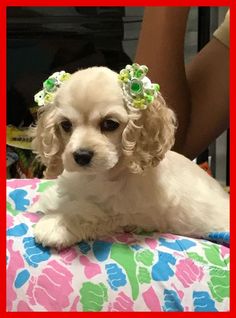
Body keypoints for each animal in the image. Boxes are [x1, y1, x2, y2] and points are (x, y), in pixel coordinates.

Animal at [30, 64, 230, 248]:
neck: (98, 176)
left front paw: (57, 223)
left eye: (109, 124)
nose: (81, 155)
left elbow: (88, 211)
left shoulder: (129, 213)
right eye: (66, 125)